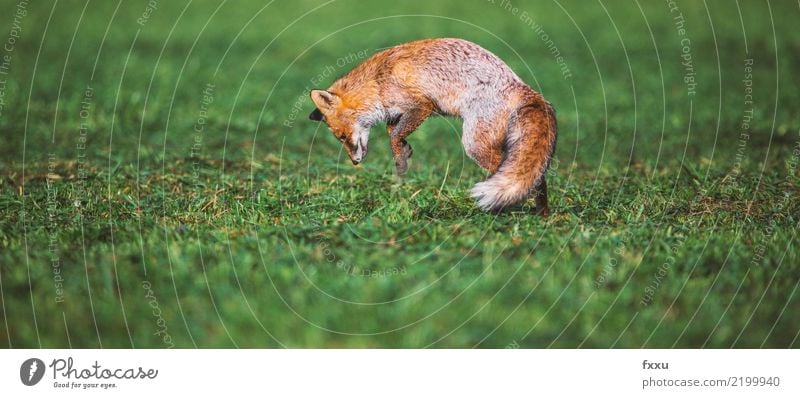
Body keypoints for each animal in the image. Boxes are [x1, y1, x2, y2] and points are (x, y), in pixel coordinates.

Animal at [306, 37, 556, 215]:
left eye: (341, 136)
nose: (355, 162)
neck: (377, 83)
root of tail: (522, 87)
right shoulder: (398, 112)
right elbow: (393, 132)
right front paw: (404, 152)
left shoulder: (422, 105)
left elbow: (394, 135)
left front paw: (400, 162)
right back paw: (540, 213)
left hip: (474, 145)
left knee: (525, 175)